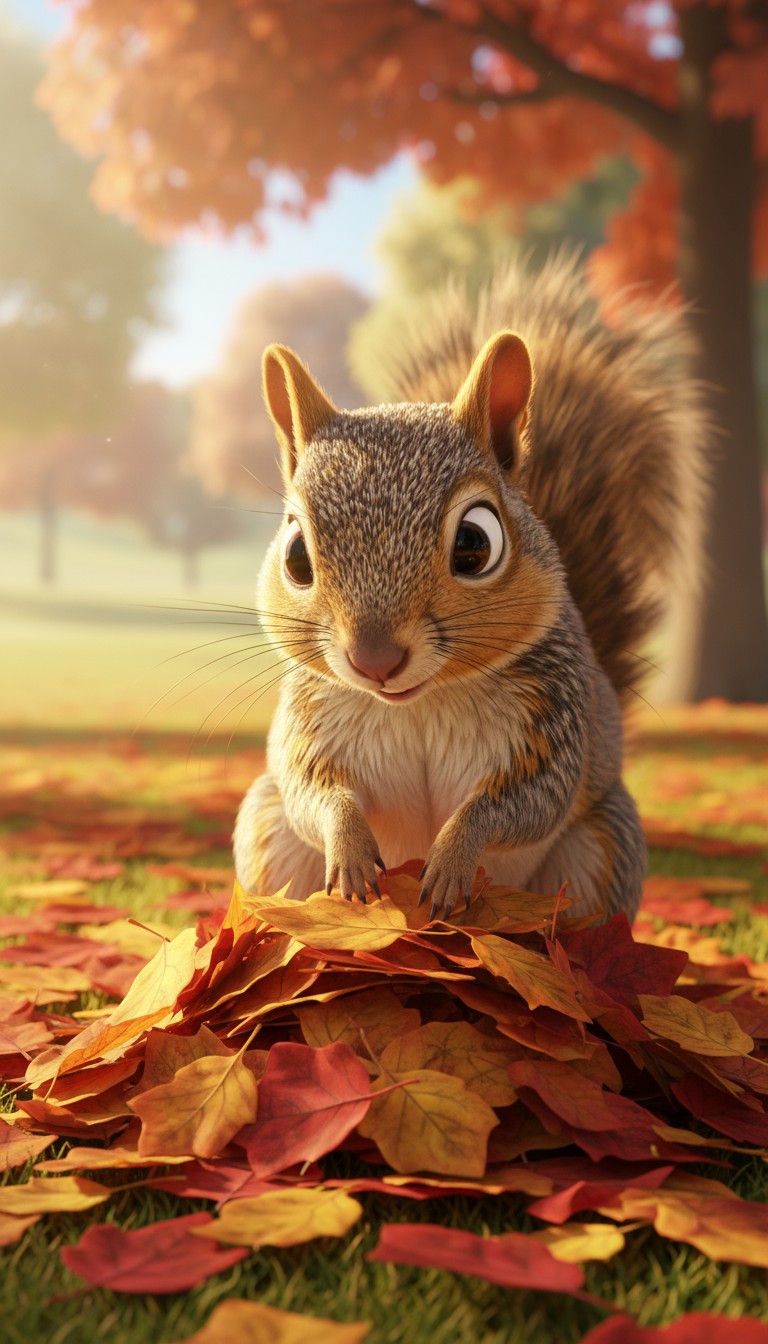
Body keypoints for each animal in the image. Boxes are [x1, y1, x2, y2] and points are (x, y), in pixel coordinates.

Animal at [233, 254, 707, 923]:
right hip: (265, 829)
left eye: (475, 544)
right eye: (297, 555)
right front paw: (348, 845)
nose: (374, 660)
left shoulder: (548, 721)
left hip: (602, 848)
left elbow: (525, 802)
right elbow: (312, 788)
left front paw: (454, 857)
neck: (419, 703)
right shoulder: (310, 722)